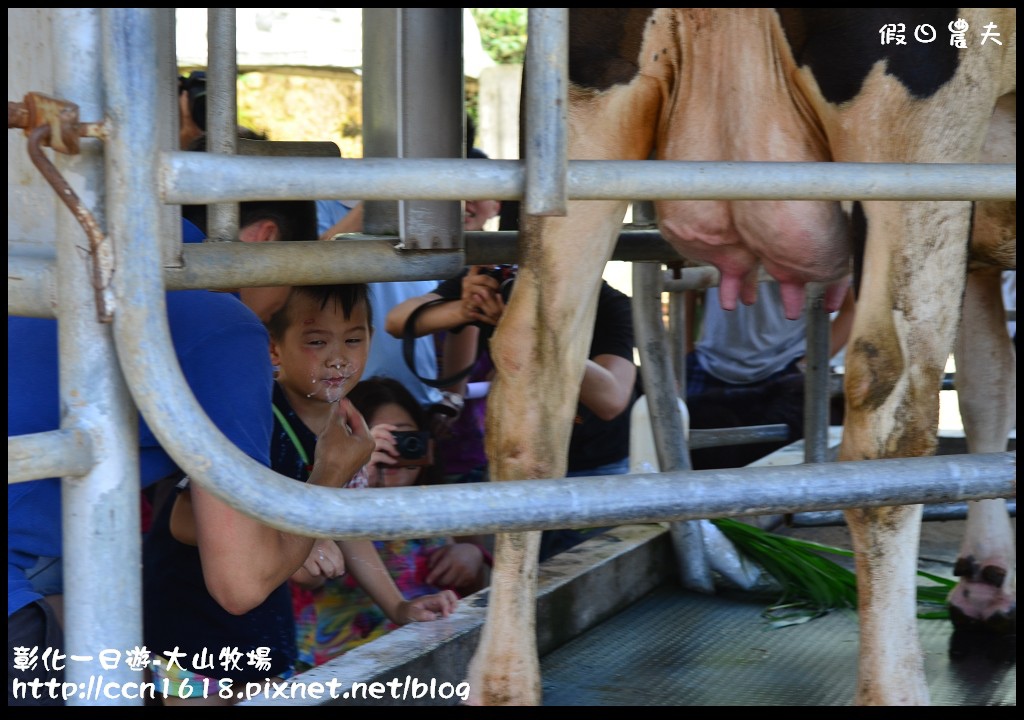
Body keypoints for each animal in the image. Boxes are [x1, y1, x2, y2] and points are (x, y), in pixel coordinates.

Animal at [468, 8, 1015, 708]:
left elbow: (986, 385)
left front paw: (986, 582)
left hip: (585, 119)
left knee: (532, 372)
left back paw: (503, 682)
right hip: (919, 123)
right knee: (889, 408)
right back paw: (894, 685)